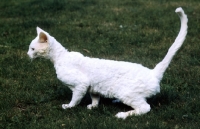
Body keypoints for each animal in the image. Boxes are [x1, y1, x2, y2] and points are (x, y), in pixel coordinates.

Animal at [27, 7, 188, 119]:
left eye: (32, 48)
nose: (27, 54)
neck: (60, 57)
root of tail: (153, 73)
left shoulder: (81, 84)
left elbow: (75, 99)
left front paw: (68, 106)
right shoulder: (92, 86)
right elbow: (95, 98)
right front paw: (93, 107)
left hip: (127, 93)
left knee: (145, 107)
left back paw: (123, 115)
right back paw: (116, 102)